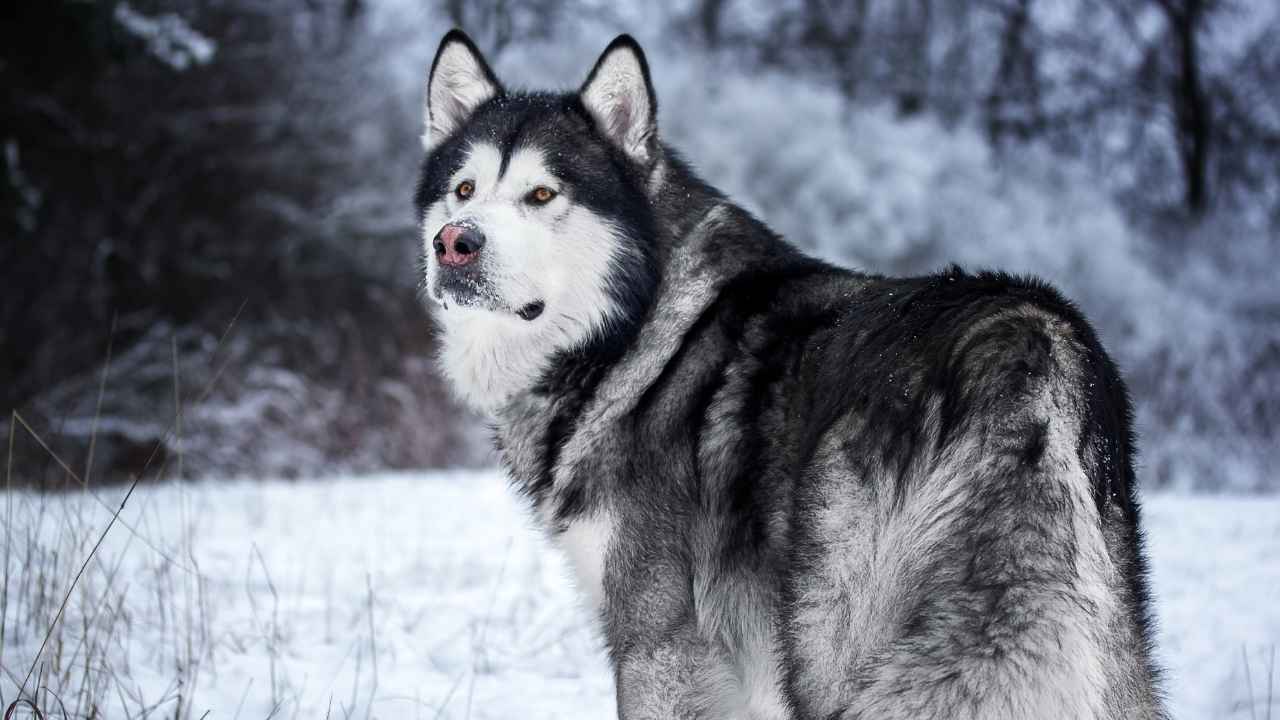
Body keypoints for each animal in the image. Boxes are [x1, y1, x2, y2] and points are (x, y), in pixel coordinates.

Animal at [414, 29, 1167, 717]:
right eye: (463, 190)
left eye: (543, 194)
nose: (455, 243)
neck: (635, 329)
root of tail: (1026, 339)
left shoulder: (659, 646)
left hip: (827, 648)